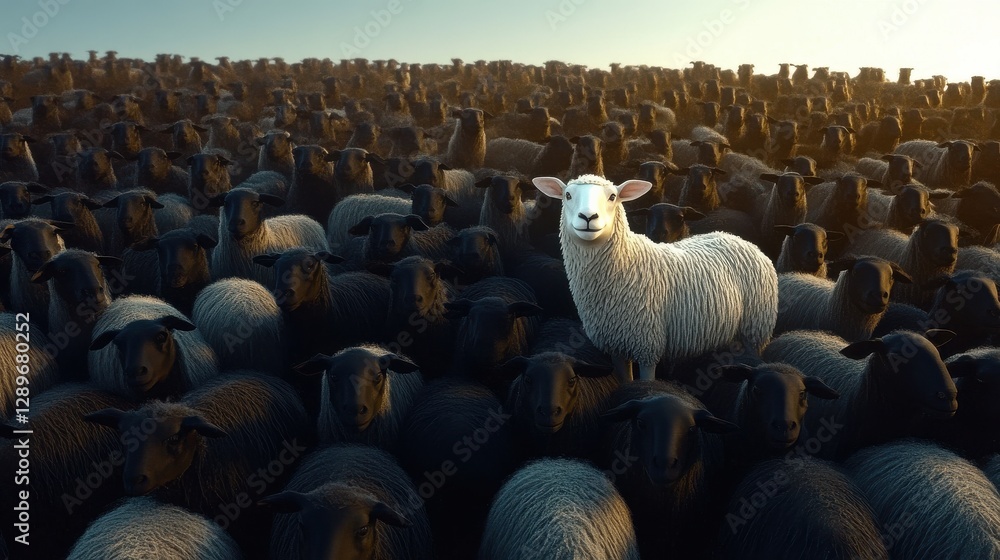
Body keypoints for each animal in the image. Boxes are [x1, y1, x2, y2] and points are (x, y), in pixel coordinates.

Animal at [532, 174, 778, 381]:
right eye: (567, 195)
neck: (627, 262)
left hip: (756, 331)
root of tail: (737, 239)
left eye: (613, 196)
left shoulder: (648, 346)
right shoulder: (616, 345)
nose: (588, 217)